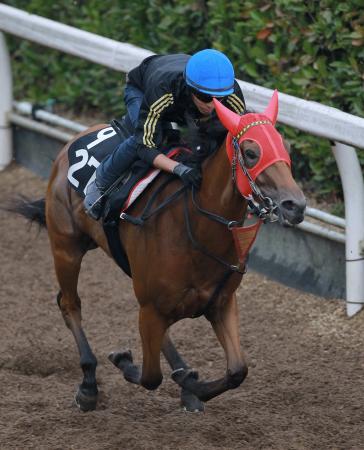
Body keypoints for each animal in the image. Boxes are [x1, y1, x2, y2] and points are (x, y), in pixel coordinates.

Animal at [11, 89, 306, 414]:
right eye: (251, 152)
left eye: (286, 148)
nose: (295, 205)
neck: (196, 228)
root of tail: (71, 143)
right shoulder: (151, 308)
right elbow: (151, 377)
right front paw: (127, 362)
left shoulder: (221, 302)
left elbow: (237, 371)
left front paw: (191, 385)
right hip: (66, 248)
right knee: (69, 304)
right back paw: (88, 385)